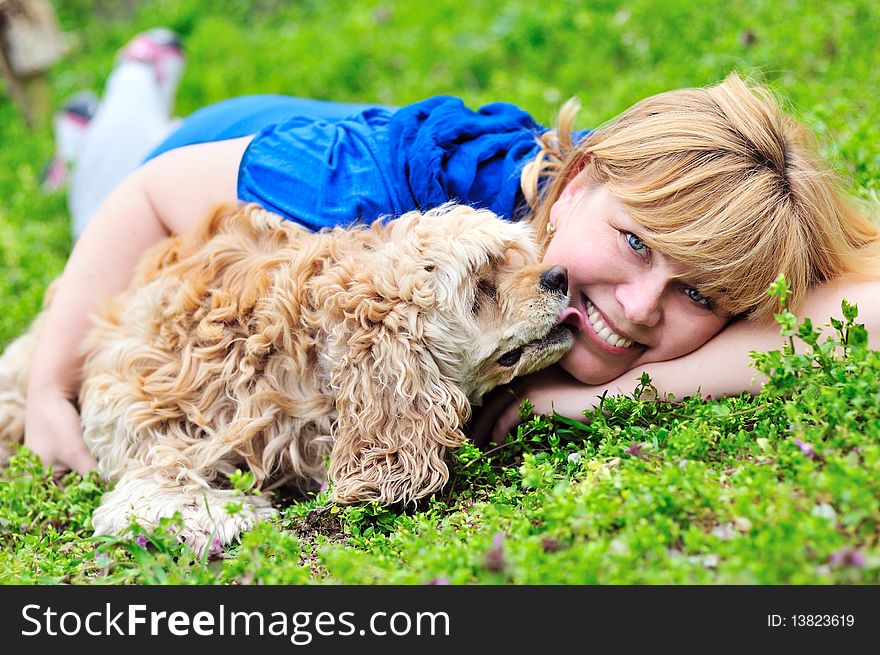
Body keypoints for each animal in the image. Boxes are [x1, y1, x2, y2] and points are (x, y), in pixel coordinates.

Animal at [0, 202, 572, 552]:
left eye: (511, 259)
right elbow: (156, 490)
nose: (559, 274)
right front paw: (228, 512)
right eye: (480, 288)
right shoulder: (145, 430)